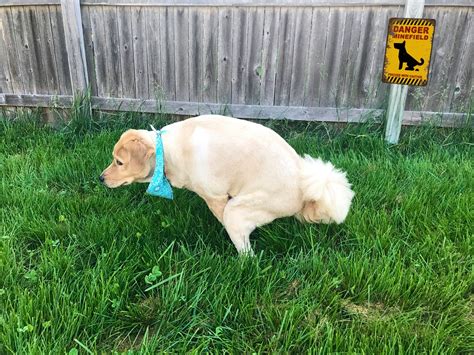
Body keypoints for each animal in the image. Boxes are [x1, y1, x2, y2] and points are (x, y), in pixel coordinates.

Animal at [100, 115, 354, 254]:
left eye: (119, 162)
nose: (101, 178)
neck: (167, 149)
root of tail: (304, 194)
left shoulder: (217, 198)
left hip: (238, 210)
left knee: (248, 255)